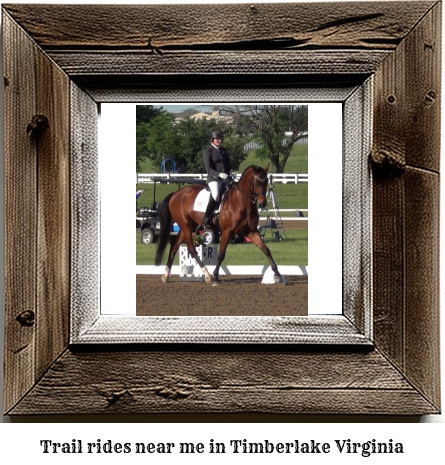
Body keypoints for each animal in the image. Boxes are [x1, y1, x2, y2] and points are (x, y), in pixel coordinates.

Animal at [153, 165, 284, 284]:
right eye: (256, 183)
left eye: (266, 182)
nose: (262, 204)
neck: (241, 201)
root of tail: (176, 193)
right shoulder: (227, 231)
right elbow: (221, 254)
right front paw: (215, 277)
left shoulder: (250, 231)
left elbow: (266, 250)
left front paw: (277, 275)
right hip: (185, 226)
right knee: (192, 249)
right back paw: (207, 275)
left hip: (189, 226)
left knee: (174, 246)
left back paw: (166, 276)